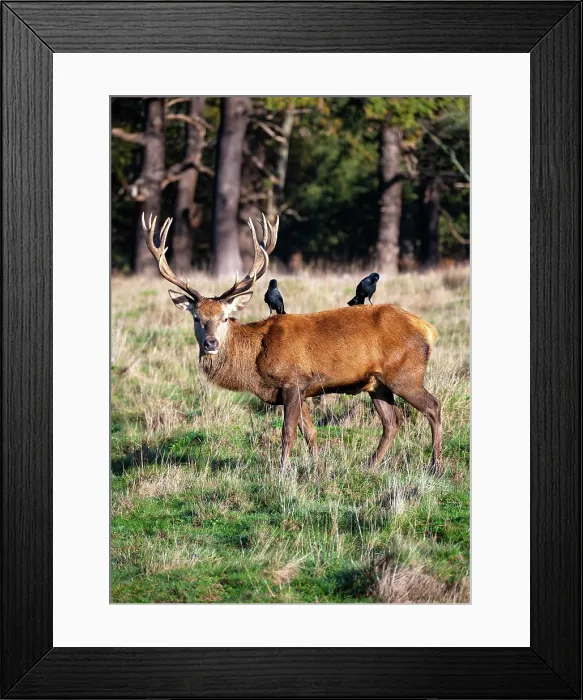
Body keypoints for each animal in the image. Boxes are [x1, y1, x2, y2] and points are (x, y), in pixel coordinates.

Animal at [143, 213, 443, 475]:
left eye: (225, 317)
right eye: (197, 318)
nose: (211, 343)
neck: (256, 363)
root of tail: (428, 330)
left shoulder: (293, 381)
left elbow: (288, 432)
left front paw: (282, 470)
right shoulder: (300, 389)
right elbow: (309, 431)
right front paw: (318, 466)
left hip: (405, 373)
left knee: (433, 406)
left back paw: (436, 466)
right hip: (377, 383)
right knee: (393, 422)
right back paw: (369, 466)